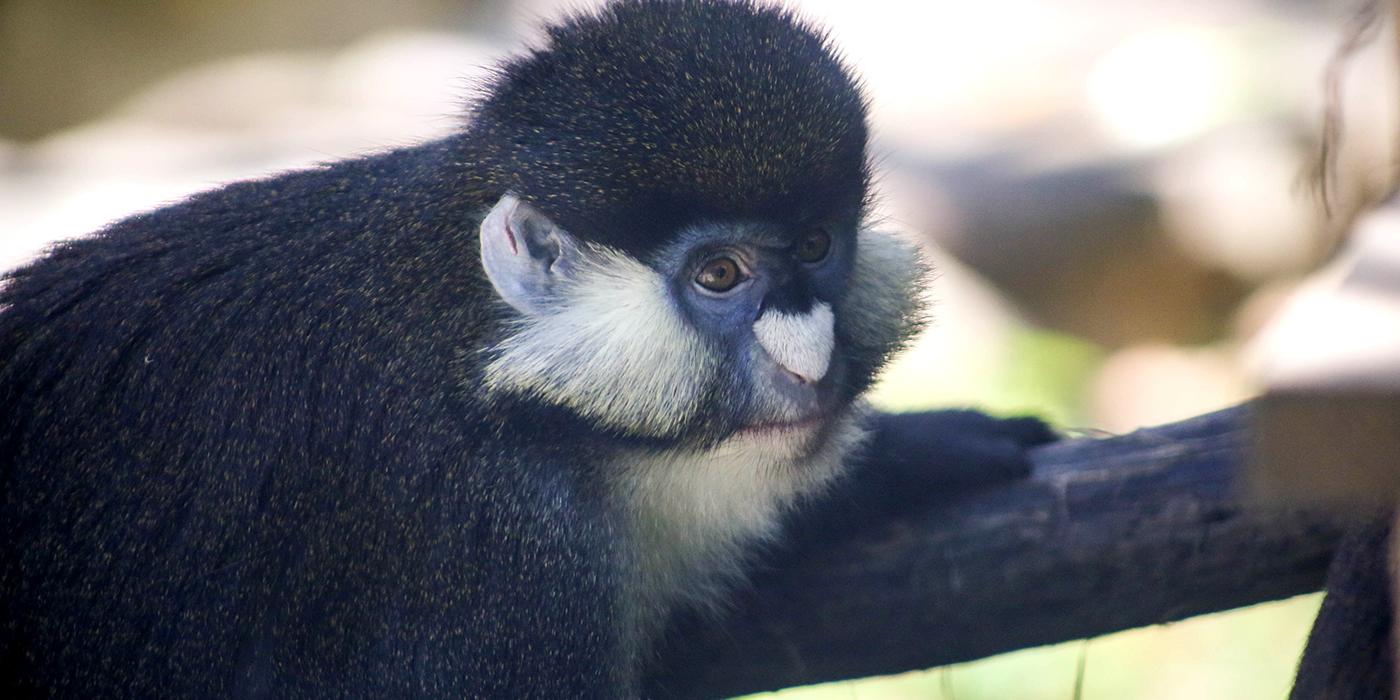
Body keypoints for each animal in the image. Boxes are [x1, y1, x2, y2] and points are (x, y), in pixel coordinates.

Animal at [0, 2, 1052, 697]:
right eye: (719, 275)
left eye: (815, 247)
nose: (809, 359)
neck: (500, 359)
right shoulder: (499, 553)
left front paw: (931, 445)